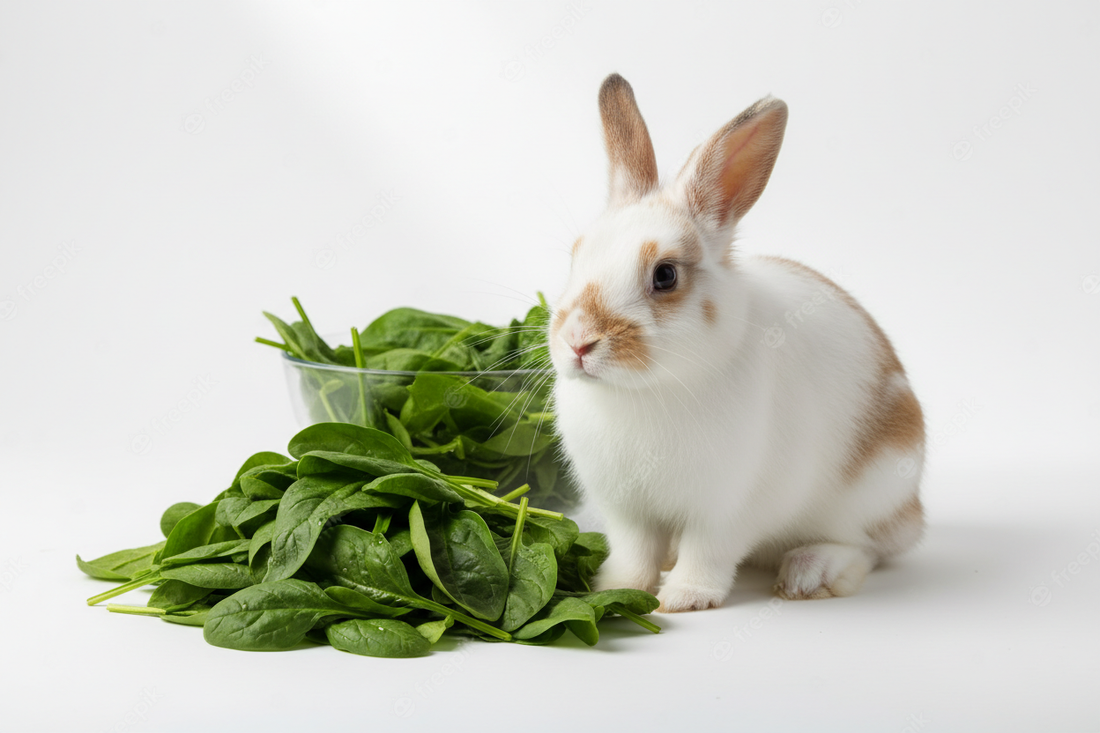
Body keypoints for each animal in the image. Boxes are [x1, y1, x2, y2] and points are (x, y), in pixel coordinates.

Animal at [548, 73, 925, 612]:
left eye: (665, 275)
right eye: (576, 256)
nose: (579, 342)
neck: (646, 390)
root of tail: (913, 508)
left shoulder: (729, 509)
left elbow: (709, 552)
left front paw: (683, 599)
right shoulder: (628, 511)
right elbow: (634, 554)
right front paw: (617, 589)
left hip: (869, 493)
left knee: (869, 547)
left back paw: (810, 574)